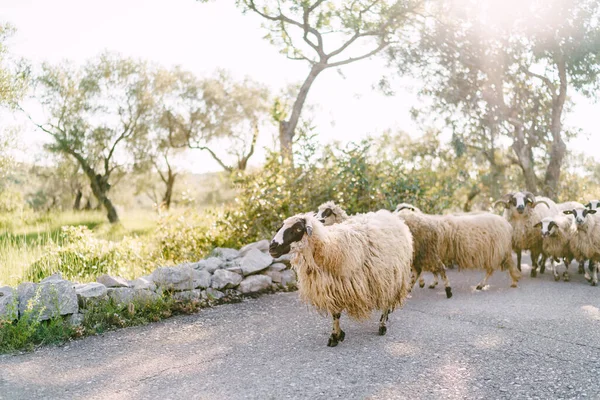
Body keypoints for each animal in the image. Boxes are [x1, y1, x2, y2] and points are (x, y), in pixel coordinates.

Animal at [270, 209, 414, 346]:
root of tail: (391, 216)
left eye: (298, 229)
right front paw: (337, 335)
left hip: (391, 277)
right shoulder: (332, 287)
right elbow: (335, 313)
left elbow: (337, 314)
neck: (330, 248)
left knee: (387, 301)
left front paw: (335, 336)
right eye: (280, 227)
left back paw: (382, 325)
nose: (272, 246)